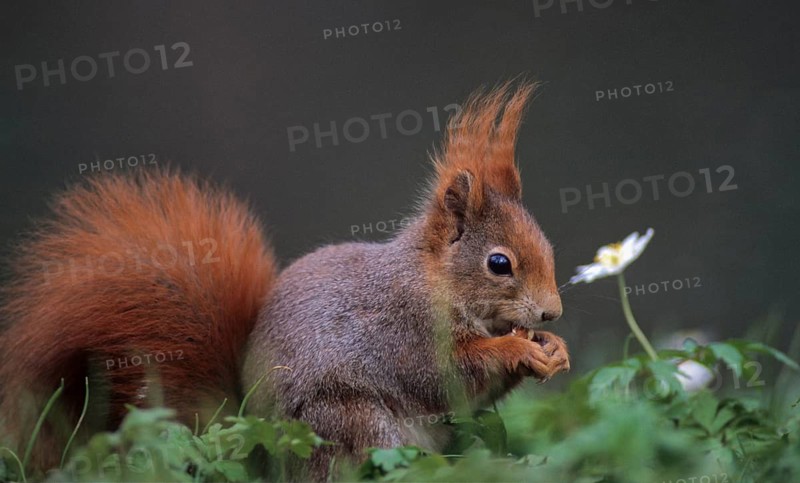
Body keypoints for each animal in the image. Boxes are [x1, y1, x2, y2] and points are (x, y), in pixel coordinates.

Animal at [0, 81, 569, 480]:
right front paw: (518, 349)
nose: (552, 312)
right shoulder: (400, 329)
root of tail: (257, 447)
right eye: (499, 264)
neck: (432, 280)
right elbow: (444, 373)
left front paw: (553, 349)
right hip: (348, 422)